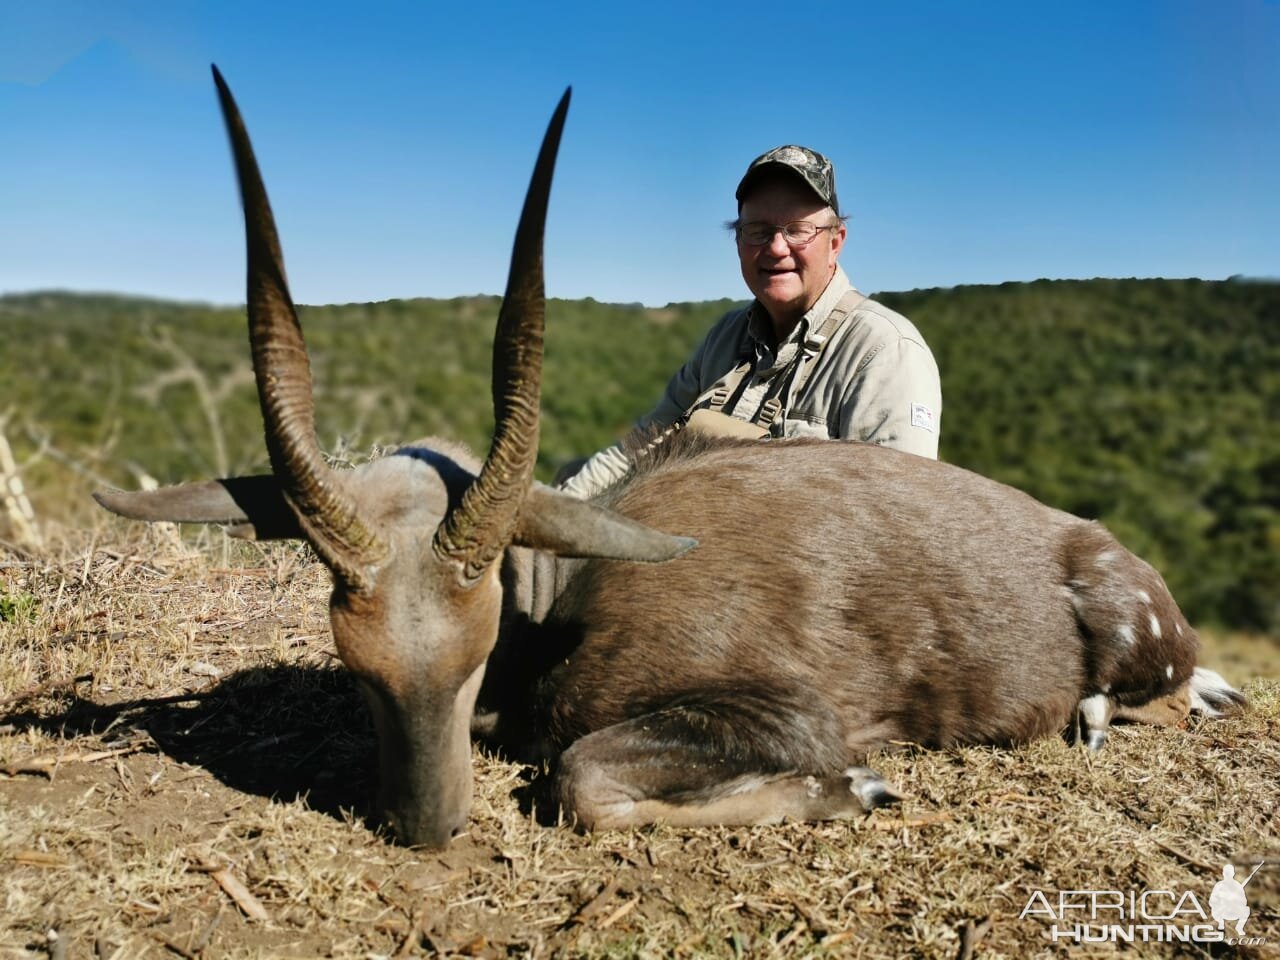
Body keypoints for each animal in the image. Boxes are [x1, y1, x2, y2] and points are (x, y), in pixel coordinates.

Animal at [94, 69, 1244, 849]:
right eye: (356, 663)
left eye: (474, 653)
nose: (427, 826)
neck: (563, 600)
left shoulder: (789, 714)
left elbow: (584, 780)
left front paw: (857, 788)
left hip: (1130, 640)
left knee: (1153, 695)